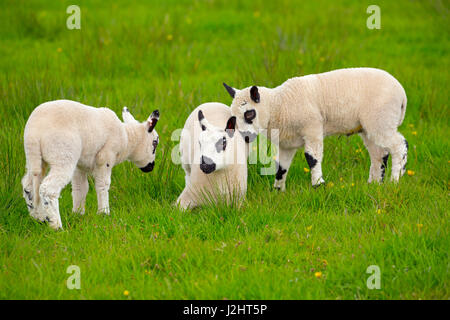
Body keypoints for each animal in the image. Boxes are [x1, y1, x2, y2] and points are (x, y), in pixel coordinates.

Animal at [22, 99, 161, 229]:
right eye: (155, 143)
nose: (151, 167)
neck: (127, 139)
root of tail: (34, 135)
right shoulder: (105, 157)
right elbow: (103, 185)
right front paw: (104, 213)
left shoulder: (80, 165)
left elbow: (81, 188)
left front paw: (78, 213)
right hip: (63, 155)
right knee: (48, 189)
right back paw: (56, 225)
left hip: (34, 159)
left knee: (28, 186)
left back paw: (38, 218)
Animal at [223, 66, 410, 189]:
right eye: (232, 117)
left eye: (249, 114)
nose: (245, 137)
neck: (279, 105)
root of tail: (402, 94)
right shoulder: (286, 143)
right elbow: (281, 167)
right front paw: (278, 190)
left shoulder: (312, 128)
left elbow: (312, 157)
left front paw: (318, 184)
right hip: (370, 126)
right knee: (380, 154)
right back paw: (374, 184)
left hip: (381, 120)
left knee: (399, 146)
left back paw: (395, 180)